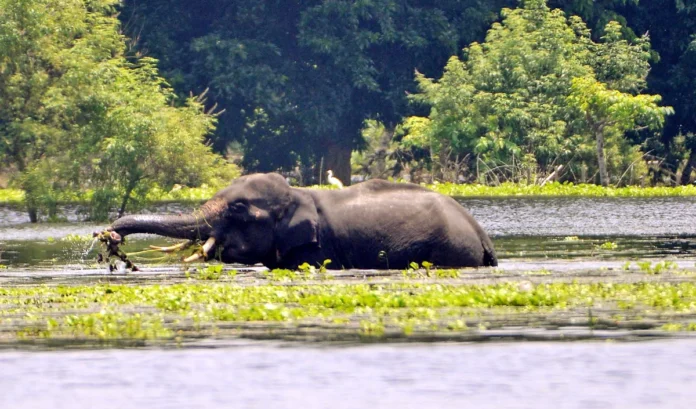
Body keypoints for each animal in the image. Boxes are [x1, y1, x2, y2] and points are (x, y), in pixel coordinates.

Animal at [106, 171, 498, 270]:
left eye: (238, 209)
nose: (110, 235)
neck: (299, 194)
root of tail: (481, 233)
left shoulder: (316, 249)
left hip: (447, 250)